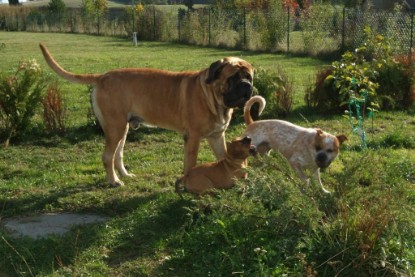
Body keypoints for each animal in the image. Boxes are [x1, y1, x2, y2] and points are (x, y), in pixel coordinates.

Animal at [39, 43, 254, 185]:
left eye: (249, 76)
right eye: (233, 77)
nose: (247, 86)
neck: (212, 97)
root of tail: (103, 76)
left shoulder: (217, 136)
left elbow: (224, 157)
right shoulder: (192, 138)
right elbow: (191, 164)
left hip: (122, 128)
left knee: (118, 154)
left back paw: (125, 175)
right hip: (115, 127)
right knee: (107, 156)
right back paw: (114, 181)